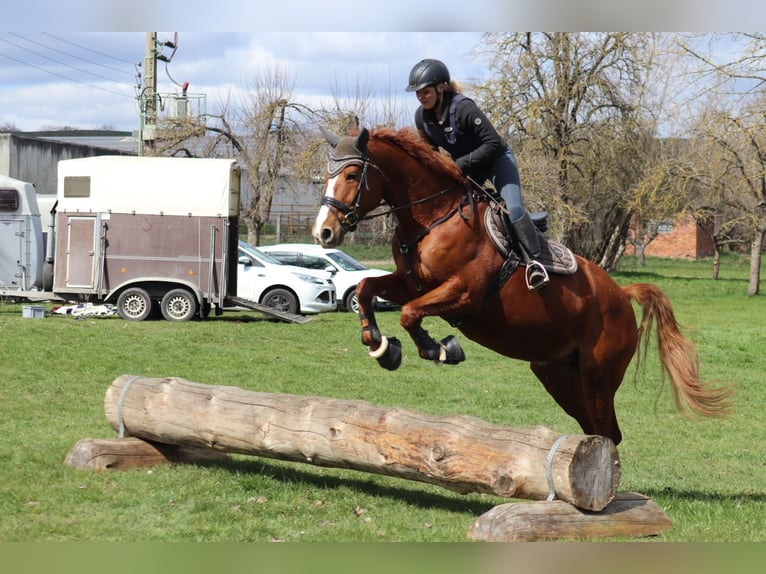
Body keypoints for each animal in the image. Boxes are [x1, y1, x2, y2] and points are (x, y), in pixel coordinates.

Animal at [312, 126, 733, 445]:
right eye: (325, 175)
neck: (433, 217)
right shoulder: (410, 283)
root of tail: (621, 295)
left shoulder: (464, 294)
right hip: (557, 375)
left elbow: (410, 314)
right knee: (597, 430)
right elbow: (367, 288)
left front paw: (440, 349)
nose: (323, 232)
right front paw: (381, 347)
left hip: (598, 376)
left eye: (351, 175)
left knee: (606, 432)